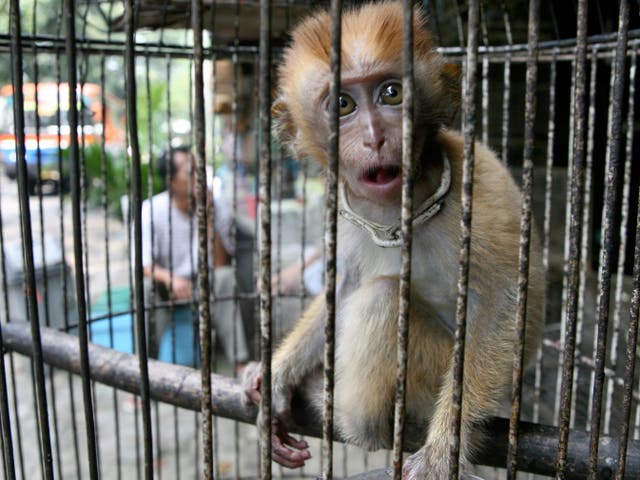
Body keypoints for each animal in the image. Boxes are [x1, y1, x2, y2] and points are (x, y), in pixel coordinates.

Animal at [242, 1, 544, 478]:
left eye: (391, 94)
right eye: (343, 104)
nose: (375, 137)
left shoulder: (481, 181)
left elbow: (506, 300)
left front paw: (443, 450)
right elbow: (342, 286)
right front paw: (277, 371)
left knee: (383, 298)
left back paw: (354, 418)